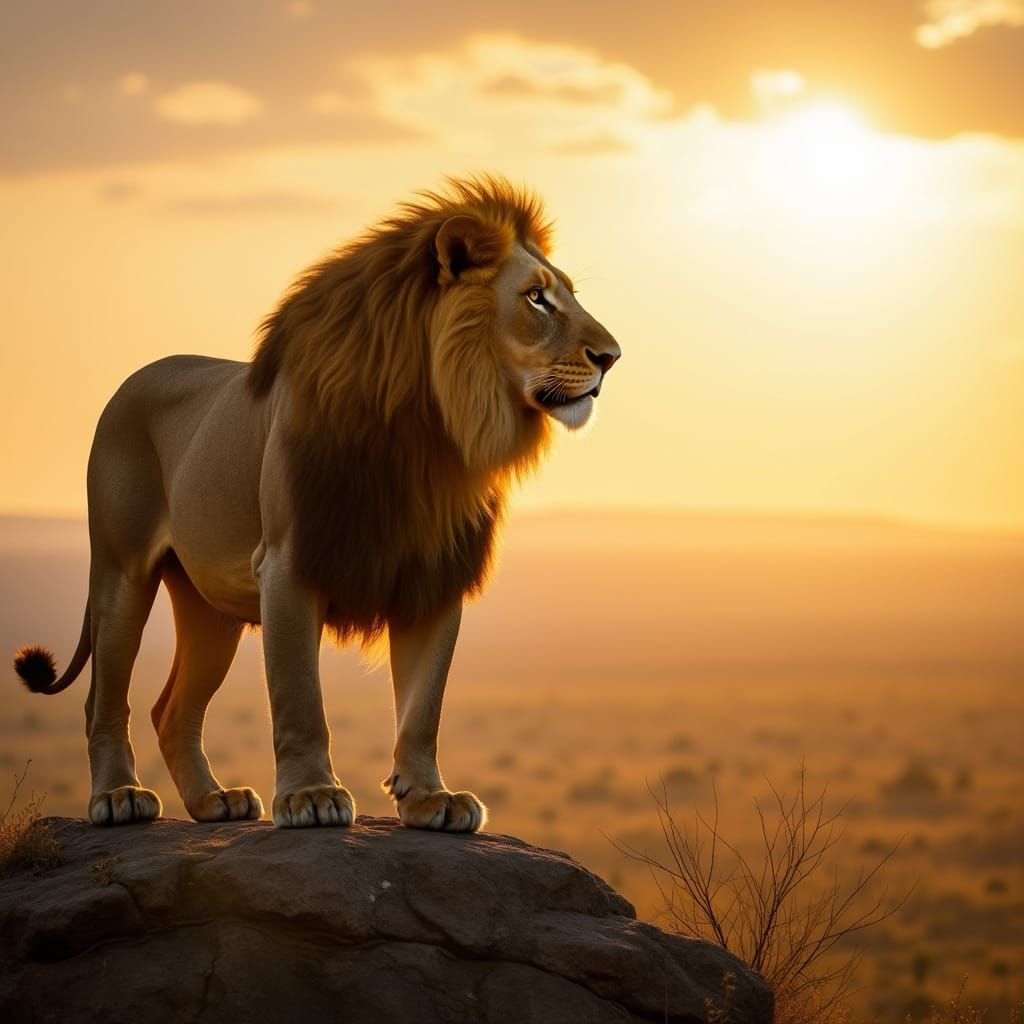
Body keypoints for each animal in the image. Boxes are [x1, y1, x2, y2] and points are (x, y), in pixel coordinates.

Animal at [13, 176, 620, 831]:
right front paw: (311, 796)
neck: (433, 430)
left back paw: (214, 801)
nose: (612, 357)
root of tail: (133, 378)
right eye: (536, 298)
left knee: (170, 710)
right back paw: (118, 797)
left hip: (209, 607)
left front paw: (431, 799)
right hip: (121, 573)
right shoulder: (288, 563)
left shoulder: (433, 576)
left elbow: (423, 706)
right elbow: (300, 696)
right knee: (104, 699)